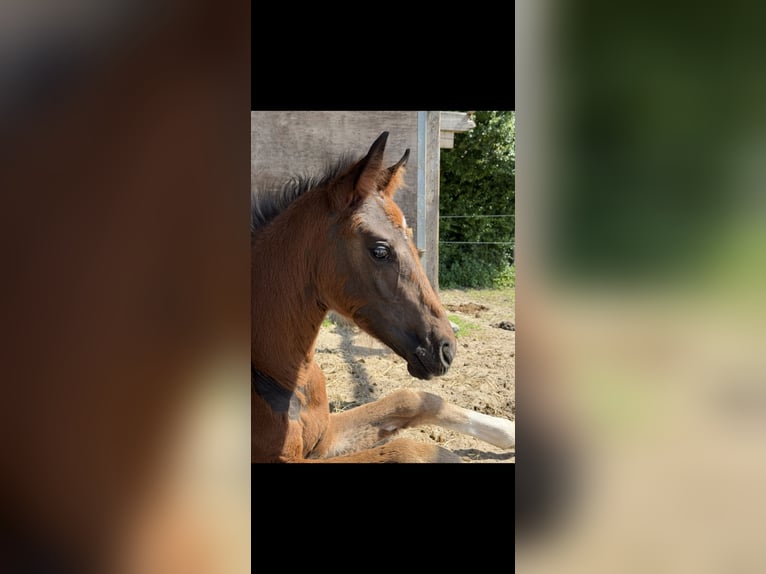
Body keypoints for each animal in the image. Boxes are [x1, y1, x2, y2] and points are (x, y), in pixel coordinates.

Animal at [251, 132, 516, 462]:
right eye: (380, 250)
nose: (446, 349)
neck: (288, 379)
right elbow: (409, 448)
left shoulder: (326, 434)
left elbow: (412, 398)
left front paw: (507, 429)